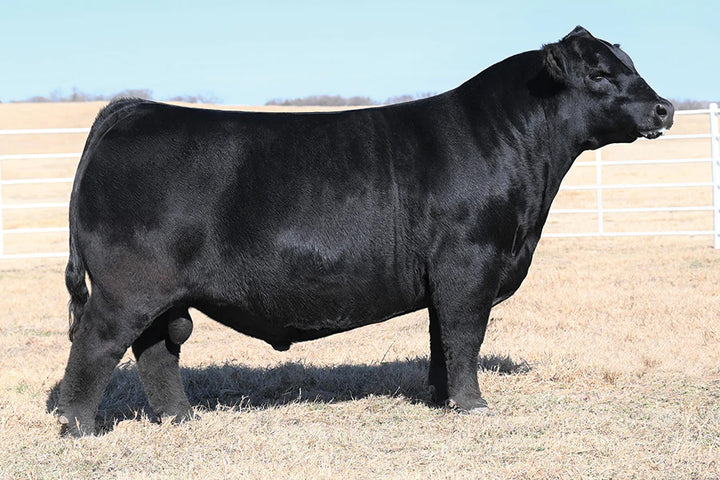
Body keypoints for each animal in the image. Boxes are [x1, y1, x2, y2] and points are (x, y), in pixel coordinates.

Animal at [57, 26, 673, 436]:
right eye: (598, 73)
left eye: (630, 64)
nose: (664, 108)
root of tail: (135, 108)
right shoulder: (469, 264)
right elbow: (465, 335)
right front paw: (473, 406)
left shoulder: (445, 278)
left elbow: (441, 340)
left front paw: (440, 399)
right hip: (126, 288)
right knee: (96, 344)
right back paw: (80, 429)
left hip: (160, 294)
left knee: (158, 349)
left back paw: (181, 419)